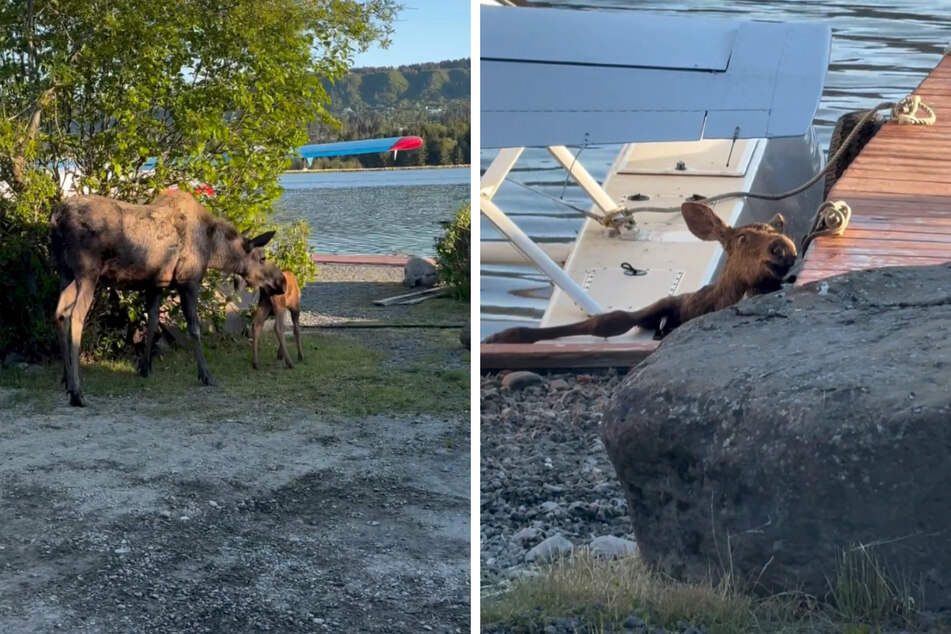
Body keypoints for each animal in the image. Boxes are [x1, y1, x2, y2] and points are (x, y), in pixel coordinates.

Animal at [51, 190, 286, 404]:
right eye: (262, 258)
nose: (281, 281)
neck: (213, 249)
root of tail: (57, 217)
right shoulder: (188, 280)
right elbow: (194, 328)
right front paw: (206, 374)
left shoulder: (157, 284)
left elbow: (153, 321)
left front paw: (145, 367)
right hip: (87, 272)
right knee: (76, 316)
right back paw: (77, 391)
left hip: (65, 271)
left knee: (60, 313)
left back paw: (66, 379)